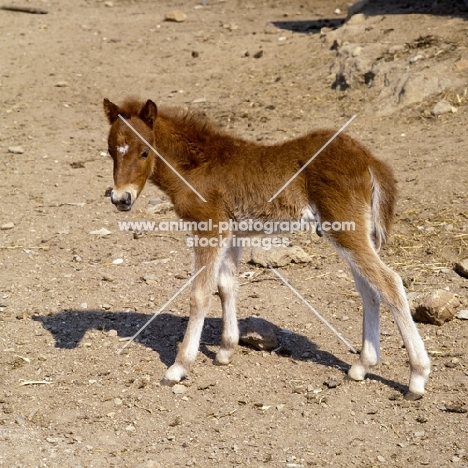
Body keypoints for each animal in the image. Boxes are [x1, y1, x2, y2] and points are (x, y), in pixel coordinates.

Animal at [103, 97, 432, 396]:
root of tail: (369, 160)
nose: (121, 199)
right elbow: (227, 286)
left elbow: (199, 293)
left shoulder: (209, 228)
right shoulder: (233, 234)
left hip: (345, 230)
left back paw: (417, 377)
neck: (198, 164)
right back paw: (363, 366)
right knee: (369, 290)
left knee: (389, 282)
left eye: (145, 151)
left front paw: (179, 366)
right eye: (110, 151)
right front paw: (226, 350)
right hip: (351, 233)